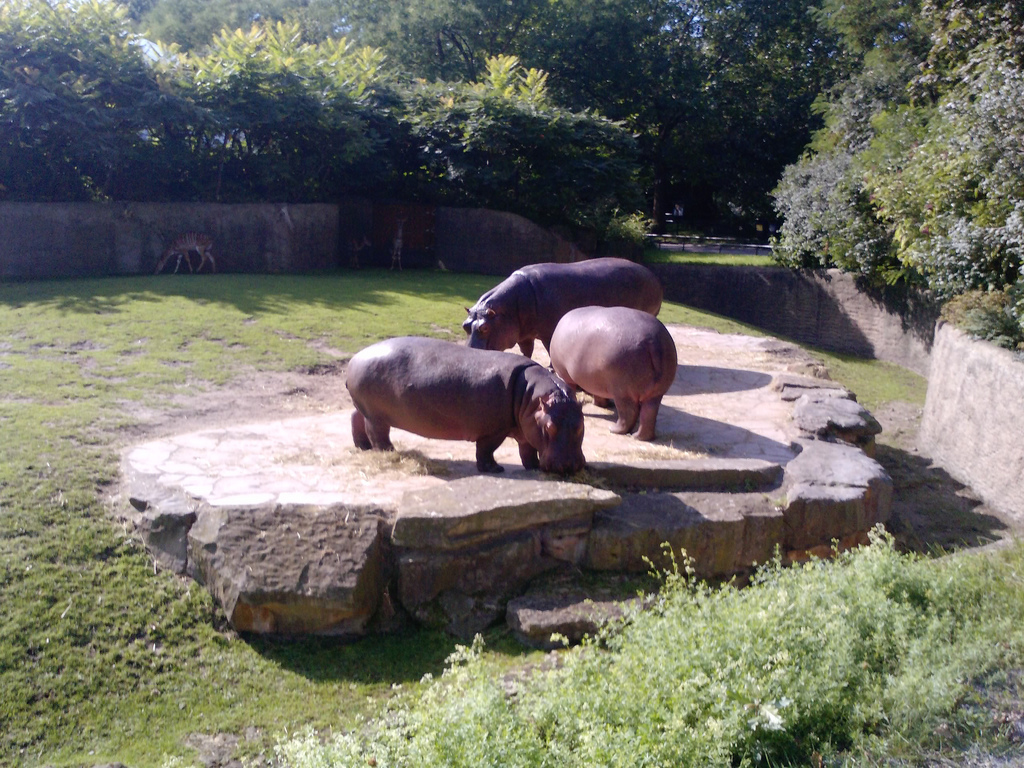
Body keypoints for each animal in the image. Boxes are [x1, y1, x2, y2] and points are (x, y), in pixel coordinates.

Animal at [344, 335, 585, 475]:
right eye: (550, 427)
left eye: (581, 427)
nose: (569, 466)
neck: (531, 398)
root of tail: (354, 359)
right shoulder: (494, 430)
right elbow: (486, 450)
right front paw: (495, 469)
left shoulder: (526, 428)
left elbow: (527, 449)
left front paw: (533, 466)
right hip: (377, 416)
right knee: (377, 433)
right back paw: (389, 451)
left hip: (364, 408)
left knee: (355, 418)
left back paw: (362, 446)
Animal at [464, 256, 663, 358]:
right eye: (465, 326)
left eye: (484, 327)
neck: (507, 309)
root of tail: (652, 275)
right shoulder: (524, 333)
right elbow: (527, 351)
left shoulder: (548, 333)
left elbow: (551, 350)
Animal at [548, 305, 675, 442]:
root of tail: (652, 340)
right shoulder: (595, 380)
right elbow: (598, 394)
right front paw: (602, 405)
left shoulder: (565, 376)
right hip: (656, 393)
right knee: (649, 413)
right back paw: (639, 437)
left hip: (622, 391)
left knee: (628, 412)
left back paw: (614, 430)